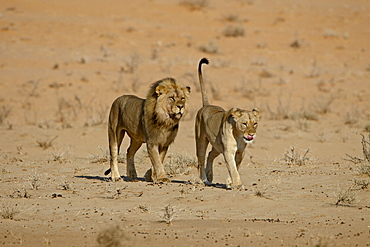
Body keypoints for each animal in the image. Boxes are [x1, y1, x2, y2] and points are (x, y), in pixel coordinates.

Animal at [195, 58, 258, 189]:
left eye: (255, 124)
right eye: (244, 124)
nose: (251, 134)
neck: (239, 136)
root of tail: (207, 105)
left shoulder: (240, 152)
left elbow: (235, 167)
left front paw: (230, 182)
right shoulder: (228, 151)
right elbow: (232, 168)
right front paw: (237, 185)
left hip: (217, 146)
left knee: (210, 154)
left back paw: (210, 176)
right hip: (201, 140)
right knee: (201, 159)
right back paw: (204, 179)